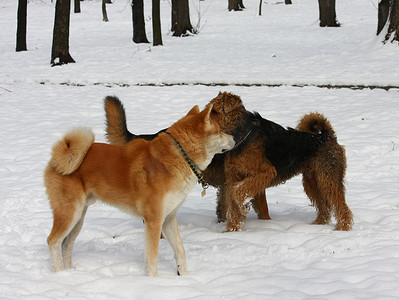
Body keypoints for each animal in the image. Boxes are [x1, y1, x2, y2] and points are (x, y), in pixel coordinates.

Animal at [44, 104, 236, 276]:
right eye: (220, 131)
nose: (235, 138)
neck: (180, 155)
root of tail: (56, 158)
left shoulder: (168, 218)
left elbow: (180, 250)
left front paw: (184, 276)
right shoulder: (154, 220)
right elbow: (152, 257)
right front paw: (153, 281)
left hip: (78, 218)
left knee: (66, 244)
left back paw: (70, 272)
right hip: (70, 213)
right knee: (53, 241)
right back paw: (60, 273)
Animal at [104, 92, 354, 231]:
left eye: (214, 110)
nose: (199, 119)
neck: (241, 137)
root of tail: (326, 136)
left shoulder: (262, 173)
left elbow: (239, 196)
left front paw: (237, 221)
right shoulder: (236, 178)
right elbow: (236, 202)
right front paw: (232, 229)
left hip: (325, 177)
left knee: (338, 204)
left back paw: (341, 227)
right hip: (313, 180)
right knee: (325, 206)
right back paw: (321, 224)